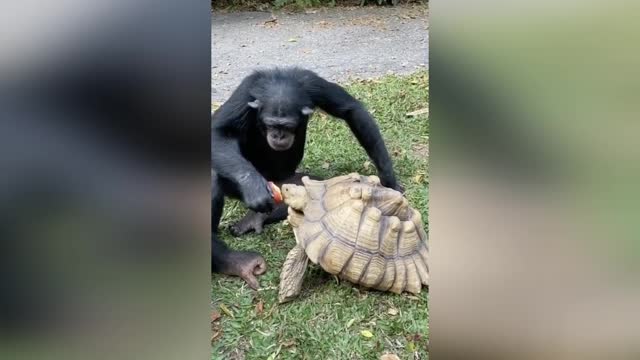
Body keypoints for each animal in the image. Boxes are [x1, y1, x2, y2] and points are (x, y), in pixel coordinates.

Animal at [211, 66, 400, 288]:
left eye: (286, 126)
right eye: (271, 124)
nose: (278, 135)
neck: (279, 83)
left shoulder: (314, 83)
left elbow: (351, 109)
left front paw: (388, 177)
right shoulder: (245, 91)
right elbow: (219, 132)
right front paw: (253, 187)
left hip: (285, 179)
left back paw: (257, 218)